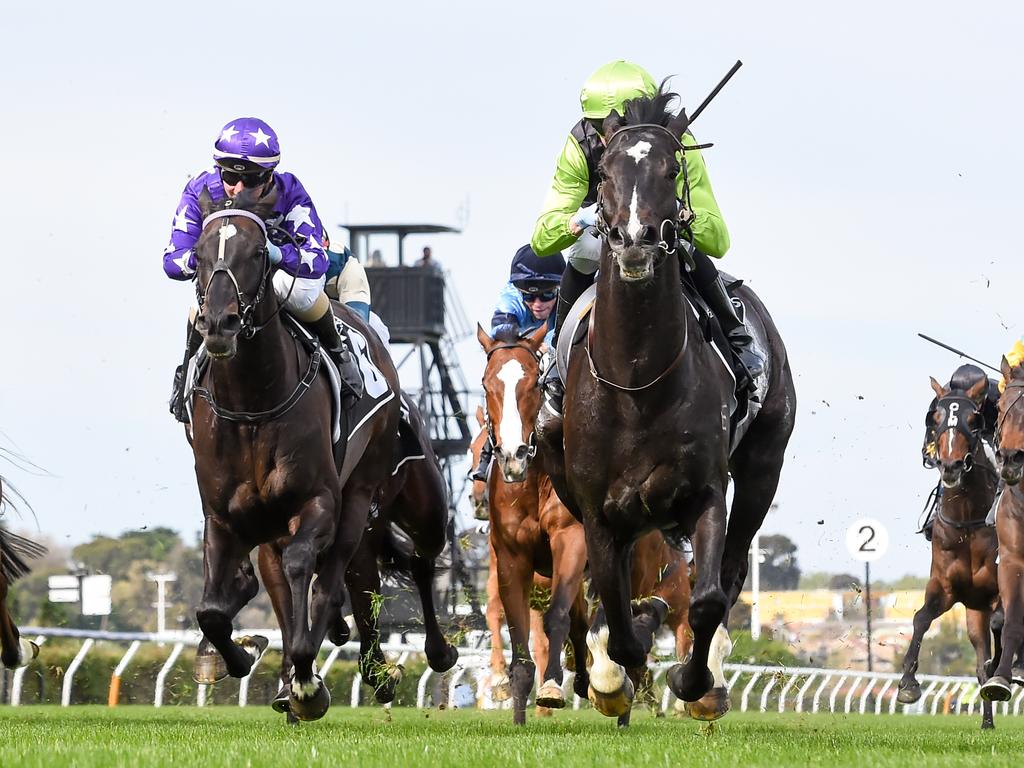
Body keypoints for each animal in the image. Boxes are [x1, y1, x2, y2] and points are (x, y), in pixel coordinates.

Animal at [540, 87, 794, 720]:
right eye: (605, 171)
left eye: (671, 169)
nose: (635, 240)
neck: (638, 383)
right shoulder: (596, 510)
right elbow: (614, 607)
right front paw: (610, 678)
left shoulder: (706, 493)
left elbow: (704, 599)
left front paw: (692, 679)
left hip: (763, 468)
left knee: (730, 572)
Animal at [897, 370, 999, 729]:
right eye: (935, 418)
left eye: (973, 419)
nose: (951, 465)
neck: (969, 521)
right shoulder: (946, 588)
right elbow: (920, 619)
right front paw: (908, 684)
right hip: (973, 612)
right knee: (981, 658)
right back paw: (987, 720)